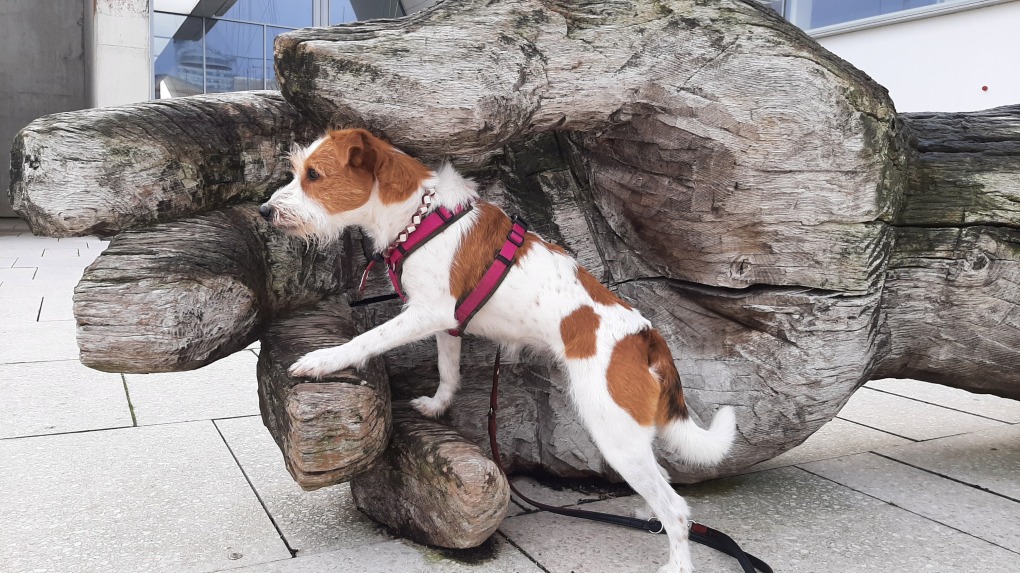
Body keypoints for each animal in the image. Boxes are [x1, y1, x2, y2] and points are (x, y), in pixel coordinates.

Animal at [255, 129, 734, 570]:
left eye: (314, 175)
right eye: (298, 171)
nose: (264, 211)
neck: (417, 218)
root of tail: (646, 336)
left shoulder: (426, 313)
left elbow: (366, 339)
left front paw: (322, 360)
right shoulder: (447, 322)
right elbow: (448, 370)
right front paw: (438, 405)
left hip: (616, 434)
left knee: (678, 509)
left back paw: (676, 559)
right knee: (663, 482)